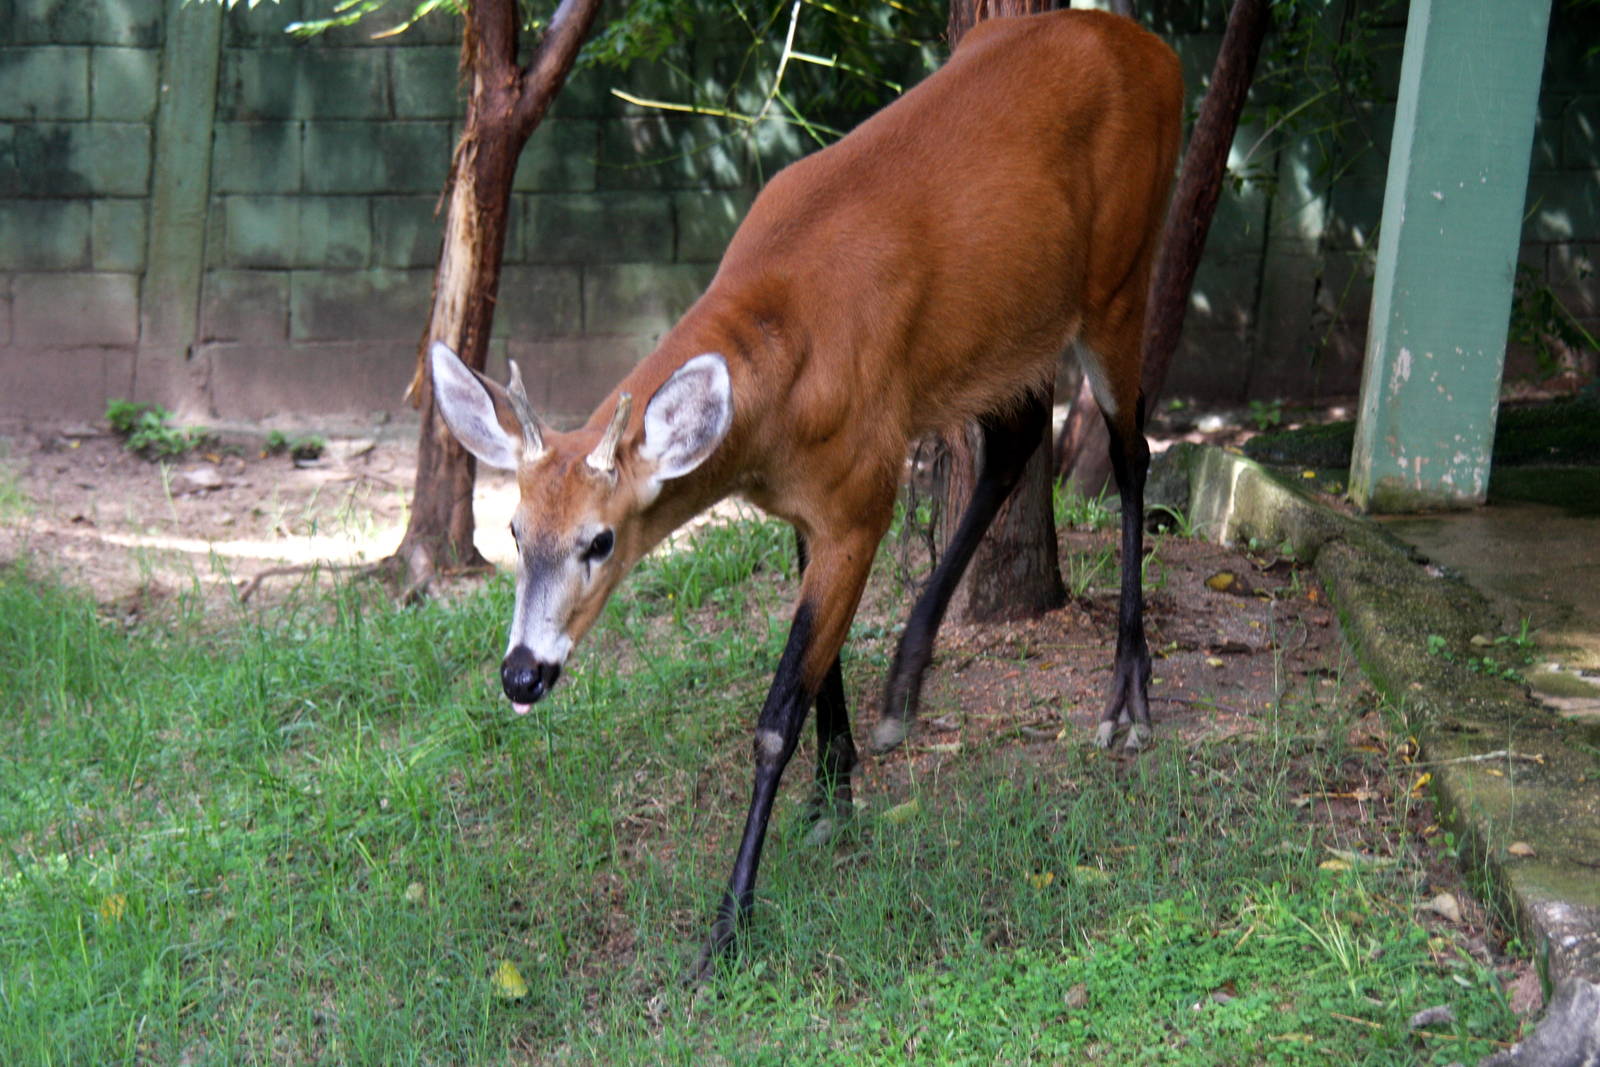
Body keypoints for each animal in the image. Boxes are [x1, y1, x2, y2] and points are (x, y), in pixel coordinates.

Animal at [428, 8, 1182, 980]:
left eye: (601, 540)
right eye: (516, 532)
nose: (523, 672)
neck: (782, 374)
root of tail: (1159, 53)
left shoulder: (861, 495)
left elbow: (775, 712)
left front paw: (728, 926)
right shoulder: (808, 509)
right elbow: (822, 667)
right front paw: (836, 792)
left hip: (1120, 278)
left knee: (1133, 453)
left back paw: (1126, 700)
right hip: (1010, 332)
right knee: (1017, 445)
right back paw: (906, 683)